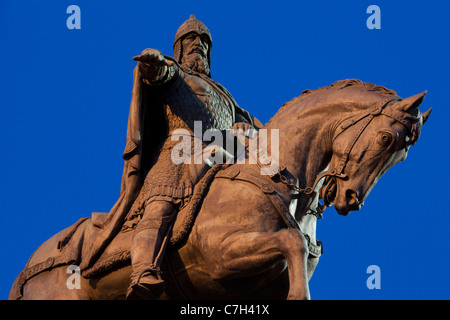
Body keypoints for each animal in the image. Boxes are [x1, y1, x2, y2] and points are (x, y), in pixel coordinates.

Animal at [10, 79, 430, 300]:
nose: (349, 200)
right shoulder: (224, 256)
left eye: (402, 157)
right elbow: (290, 242)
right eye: (386, 139)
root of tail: (30, 268)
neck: (271, 176)